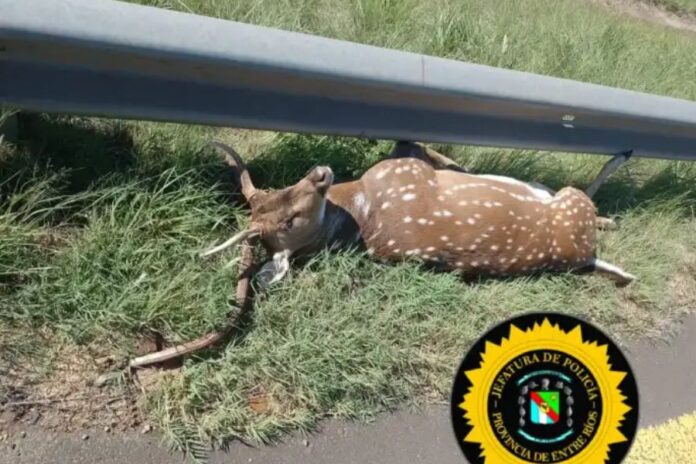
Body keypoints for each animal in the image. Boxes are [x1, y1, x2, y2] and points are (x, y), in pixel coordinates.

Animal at [126, 140, 633, 369]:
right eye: (287, 222)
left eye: (280, 193)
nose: (320, 172)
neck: (359, 209)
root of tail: (582, 253)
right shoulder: (406, 166)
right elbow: (430, 154)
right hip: (573, 205)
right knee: (587, 194)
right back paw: (619, 165)